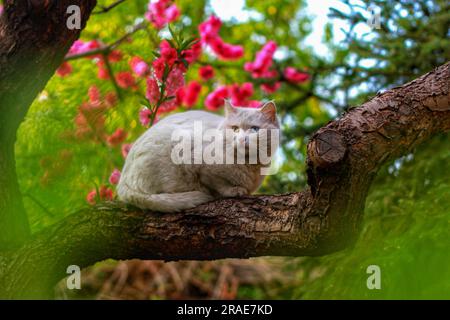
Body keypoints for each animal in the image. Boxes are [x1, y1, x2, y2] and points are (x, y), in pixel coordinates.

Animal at [117, 100, 278, 212]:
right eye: (235, 129)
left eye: (255, 129)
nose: (242, 139)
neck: (249, 165)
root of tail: (122, 184)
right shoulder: (198, 163)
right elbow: (218, 184)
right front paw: (233, 190)